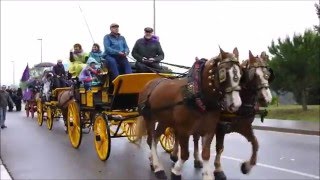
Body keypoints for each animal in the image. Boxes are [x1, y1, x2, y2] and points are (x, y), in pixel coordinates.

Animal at [135, 47, 242, 179]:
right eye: (223, 73)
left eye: (241, 73)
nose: (235, 105)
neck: (197, 94)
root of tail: (150, 83)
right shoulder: (184, 130)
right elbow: (185, 154)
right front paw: (176, 171)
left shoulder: (209, 129)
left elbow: (205, 154)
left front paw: (207, 174)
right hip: (149, 118)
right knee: (150, 140)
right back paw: (158, 167)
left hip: (164, 120)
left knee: (155, 139)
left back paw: (153, 162)